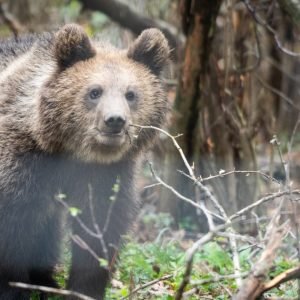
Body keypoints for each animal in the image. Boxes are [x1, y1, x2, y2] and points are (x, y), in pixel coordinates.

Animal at [0, 24, 169, 298]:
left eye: (131, 94)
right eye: (94, 91)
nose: (115, 120)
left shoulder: (103, 174)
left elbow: (99, 229)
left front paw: (82, 288)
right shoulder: (21, 166)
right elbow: (12, 233)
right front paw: (15, 288)